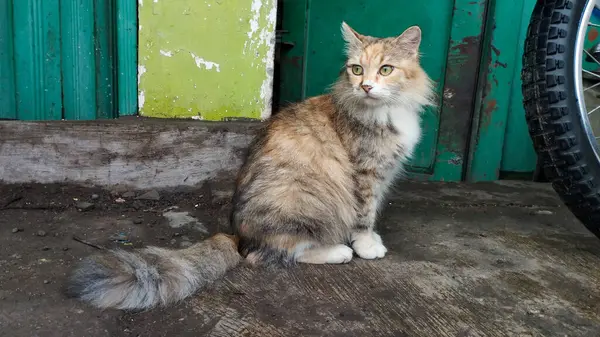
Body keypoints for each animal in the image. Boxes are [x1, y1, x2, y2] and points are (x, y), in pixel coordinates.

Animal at [67, 22, 436, 308]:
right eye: (356, 69)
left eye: (386, 69)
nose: (366, 86)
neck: (387, 111)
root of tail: (237, 235)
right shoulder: (366, 172)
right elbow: (364, 215)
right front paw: (366, 244)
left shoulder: (383, 173)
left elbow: (372, 211)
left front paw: (369, 239)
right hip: (305, 203)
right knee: (273, 254)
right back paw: (337, 251)